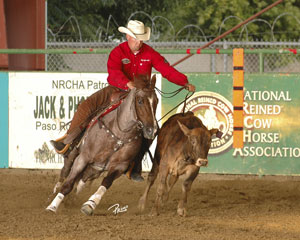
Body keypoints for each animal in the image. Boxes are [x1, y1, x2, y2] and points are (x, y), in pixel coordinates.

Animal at [45, 74, 158, 214]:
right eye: (140, 101)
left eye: (157, 101)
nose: (152, 130)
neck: (120, 134)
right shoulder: (83, 158)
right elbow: (68, 184)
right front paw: (53, 206)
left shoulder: (120, 166)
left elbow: (106, 182)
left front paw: (90, 204)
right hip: (73, 157)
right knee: (64, 174)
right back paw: (53, 194)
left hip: (95, 169)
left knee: (82, 180)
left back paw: (73, 199)